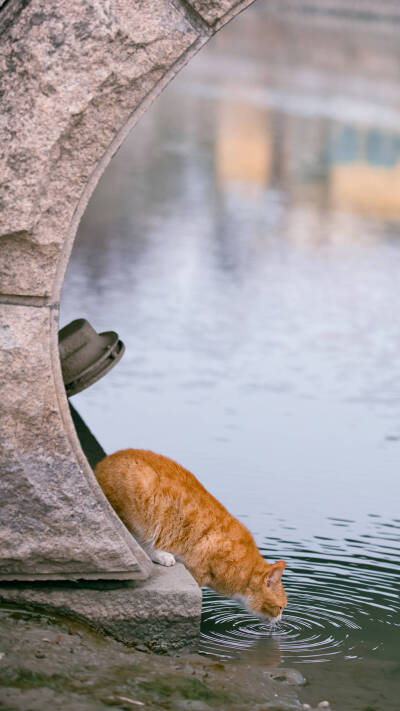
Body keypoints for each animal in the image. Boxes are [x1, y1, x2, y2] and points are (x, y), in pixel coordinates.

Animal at [94, 450, 288, 624]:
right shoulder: (197, 571)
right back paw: (162, 555)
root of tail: (100, 465)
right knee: (137, 543)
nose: (280, 620)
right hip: (141, 504)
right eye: (280, 607)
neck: (242, 570)